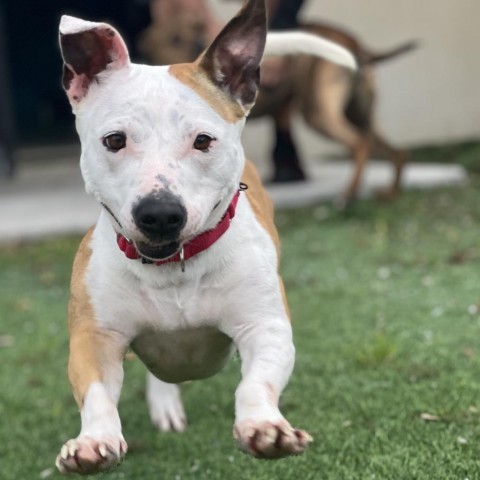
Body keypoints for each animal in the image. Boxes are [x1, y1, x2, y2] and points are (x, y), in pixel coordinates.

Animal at [56, 0, 354, 472]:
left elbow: (255, 382)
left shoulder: (264, 326)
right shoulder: (96, 336)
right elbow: (98, 392)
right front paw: (92, 442)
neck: (173, 267)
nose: (160, 213)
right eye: (115, 140)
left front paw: (263, 428)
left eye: (202, 141)